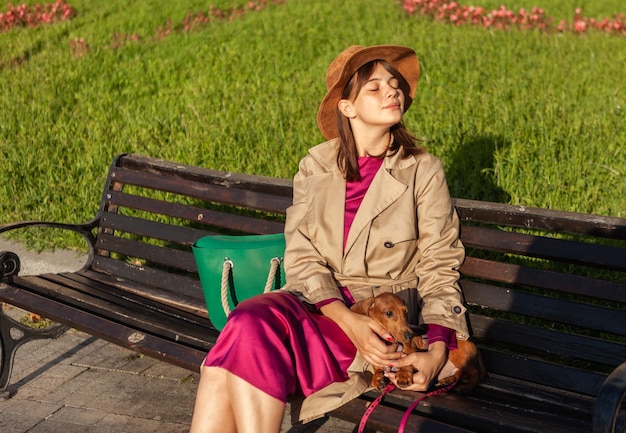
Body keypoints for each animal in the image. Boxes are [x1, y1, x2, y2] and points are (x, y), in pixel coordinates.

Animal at [348, 292, 486, 394]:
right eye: (388, 313)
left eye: (405, 311)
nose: (410, 335)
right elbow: (378, 367)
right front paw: (377, 378)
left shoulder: (413, 351)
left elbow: (407, 361)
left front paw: (403, 374)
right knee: (460, 373)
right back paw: (447, 380)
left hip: (456, 354)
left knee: (477, 373)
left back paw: (466, 387)